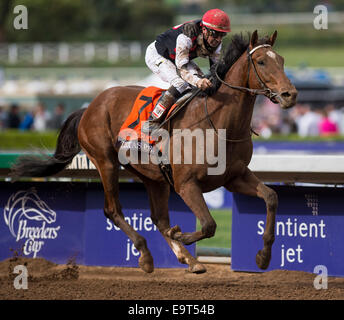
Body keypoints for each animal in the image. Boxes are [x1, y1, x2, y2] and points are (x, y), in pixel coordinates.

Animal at [10, 31, 296, 274]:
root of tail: (90, 106)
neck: (219, 122)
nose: (290, 94)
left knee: (158, 218)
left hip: (154, 178)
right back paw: (147, 255)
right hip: (106, 162)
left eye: (281, 60)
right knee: (113, 210)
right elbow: (209, 224)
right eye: (261, 61)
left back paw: (189, 260)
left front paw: (264, 256)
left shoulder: (234, 177)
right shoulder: (186, 184)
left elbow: (271, 197)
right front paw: (180, 235)